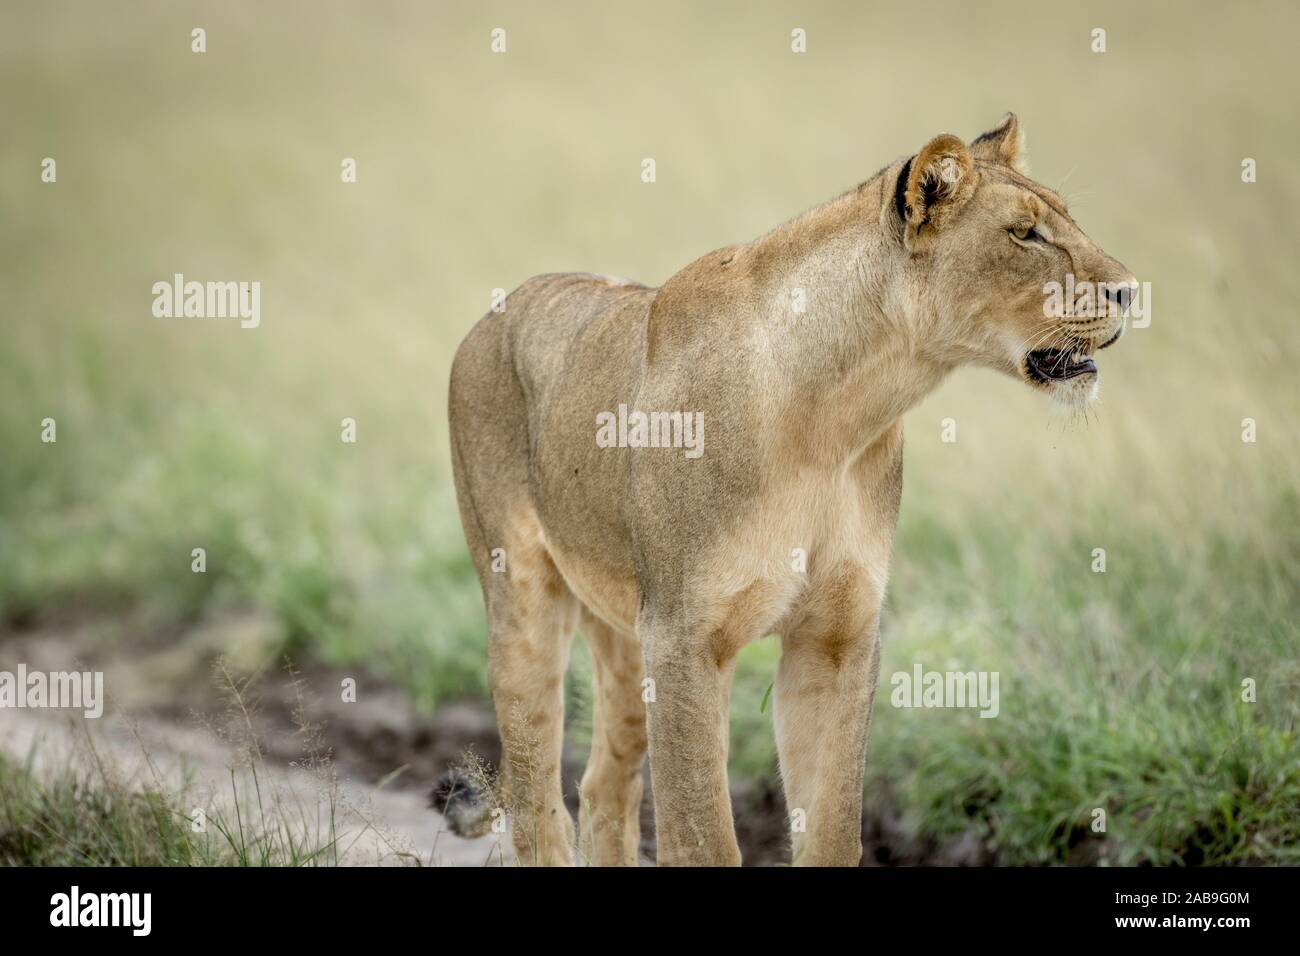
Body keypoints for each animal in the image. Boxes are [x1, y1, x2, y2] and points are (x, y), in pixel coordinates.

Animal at [439, 114, 1136, 866]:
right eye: (1025, 233)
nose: (1132, 291)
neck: (840, 413)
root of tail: (502, 307)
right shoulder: (683, 638)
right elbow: (703, 838)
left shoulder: (837, 637)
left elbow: (832, 830)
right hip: (523, 598)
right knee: (537, 798)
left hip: (623, 628)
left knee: (604, 787)